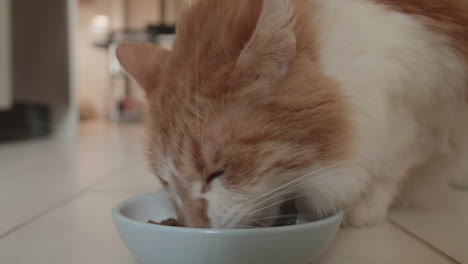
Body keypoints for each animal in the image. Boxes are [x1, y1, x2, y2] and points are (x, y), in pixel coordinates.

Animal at [116, 0, 468, 228]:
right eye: (165, 181)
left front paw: (367, 206)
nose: (196, 230)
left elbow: (399, 160)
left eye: (218, 172)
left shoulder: (434, 96)